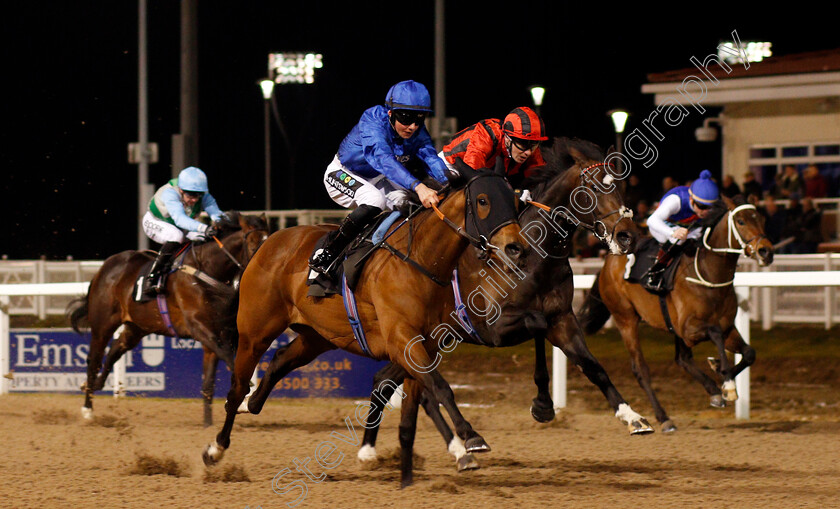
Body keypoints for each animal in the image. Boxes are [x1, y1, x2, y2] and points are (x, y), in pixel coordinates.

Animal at [67, 210, 268, 424]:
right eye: (254, 244)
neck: (207, 271)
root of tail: (104, 267)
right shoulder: (200, 328)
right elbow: (228, 357)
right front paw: (244, 390)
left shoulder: (219, 334)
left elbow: (208, 384)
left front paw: (208, 424)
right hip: (103, 324)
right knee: (94, 360)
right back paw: (87, 409)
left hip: (137, 327)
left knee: (115, 349)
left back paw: (96, 384)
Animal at [202, 162, 524, 484]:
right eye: (483, 201)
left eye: (514, 200)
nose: (515, 248)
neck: (419, 259)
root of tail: (269, 243)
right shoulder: (402, 339)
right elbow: (440, 387)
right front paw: (471, 438)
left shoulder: (425, 344)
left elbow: (422, 395)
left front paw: (424, 465)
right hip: (255, 332)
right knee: (237, 387)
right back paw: (216, 448)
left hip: (317, 336)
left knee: (280, 360)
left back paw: (252, 404)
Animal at [354, 137, 656, 470]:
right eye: (592, 188)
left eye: (621, 187)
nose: (628, 237)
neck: (537, 255)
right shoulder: (494, 328)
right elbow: (536, 324)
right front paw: (542, 405)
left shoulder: (563, 318)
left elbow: (593, 366)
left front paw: (633, 416)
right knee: (409, 385)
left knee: (385, 380)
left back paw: (369, 449)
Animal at [576, 196, 776, 430]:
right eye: (741, 221)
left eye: (761, 218)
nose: (766, 252)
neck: (708, 274)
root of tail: (607, 264)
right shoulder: (689, 328)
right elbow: (715, 333)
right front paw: (726, 382)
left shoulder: (726, 327)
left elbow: (749, 353)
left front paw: (720, 372)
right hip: (625, 318)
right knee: (641, 369)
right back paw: (663, 418)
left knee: (683, 359)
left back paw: (712, 390)